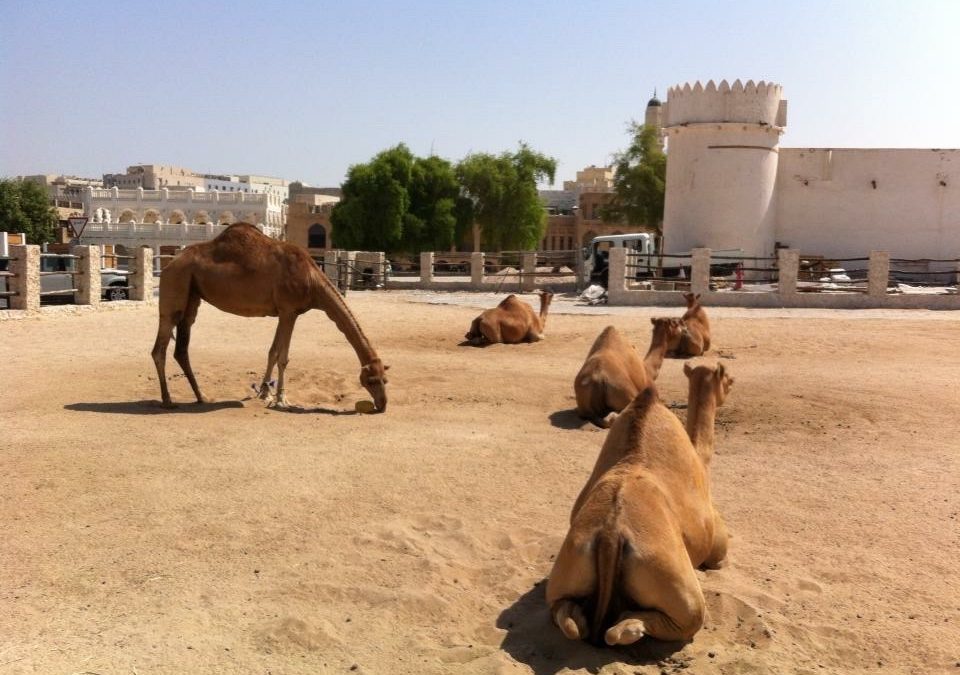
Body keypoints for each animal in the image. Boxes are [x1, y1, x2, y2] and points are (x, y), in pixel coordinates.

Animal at [150, 224, 390, 410]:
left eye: (385, 379)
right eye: (371, 380)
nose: (383, 405)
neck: (312, 279)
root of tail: (168, 264)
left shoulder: (287, 312)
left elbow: (275, 353)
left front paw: (267, 392)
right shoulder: (288, 310)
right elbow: (281, 356)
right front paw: (280, 398)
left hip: (192, 296)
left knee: (181, 348)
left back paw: (202, 397)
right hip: (175, 285)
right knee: (159, 347)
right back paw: (168, 401)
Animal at [548, 362, 736, 648]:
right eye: (726, 378)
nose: (733, 382)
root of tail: (610, 536)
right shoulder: (718, 547)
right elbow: (719, 560)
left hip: (567, 565)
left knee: (566, 615)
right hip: (676, 584)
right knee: (680, 619)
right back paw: (631, 627)